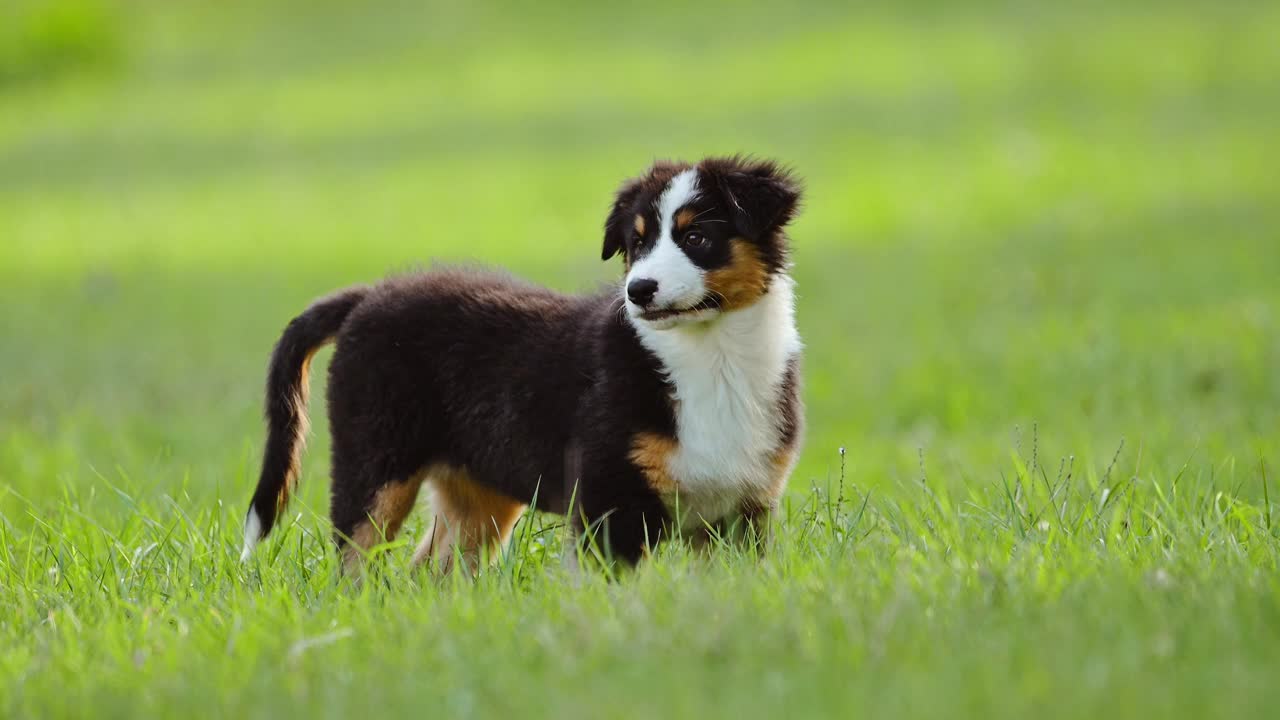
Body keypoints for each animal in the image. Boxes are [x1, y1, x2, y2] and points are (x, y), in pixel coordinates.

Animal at [236, 154, 803, 568]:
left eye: (696, 237)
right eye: (636, 243)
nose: (638, 291)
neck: (712, 357)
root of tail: (368, 295)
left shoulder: (744, 509)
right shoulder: (609, 500)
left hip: (478, 494)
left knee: (429, 573)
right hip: (375, 461)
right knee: (355, 564)